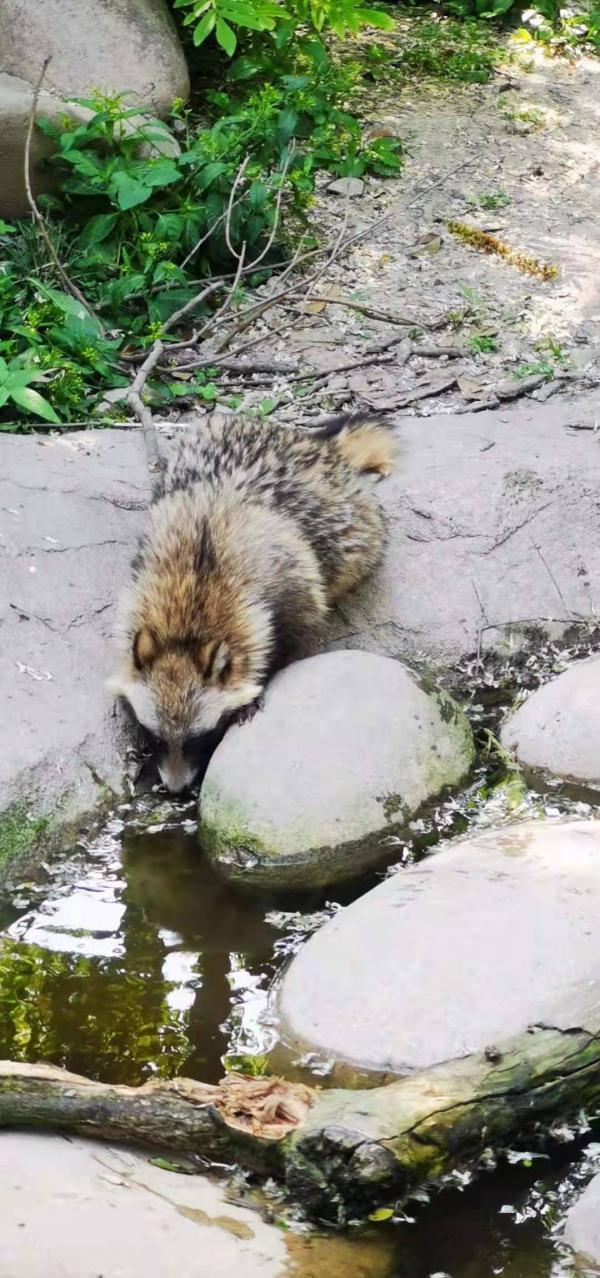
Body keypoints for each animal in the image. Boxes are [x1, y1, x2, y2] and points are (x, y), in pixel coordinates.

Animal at [110, 411, 394, 787]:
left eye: (200, 738)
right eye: (155, 736)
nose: (175, 788)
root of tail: (307, 441)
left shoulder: (294, 588)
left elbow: (295, 639)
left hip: (356, 530)